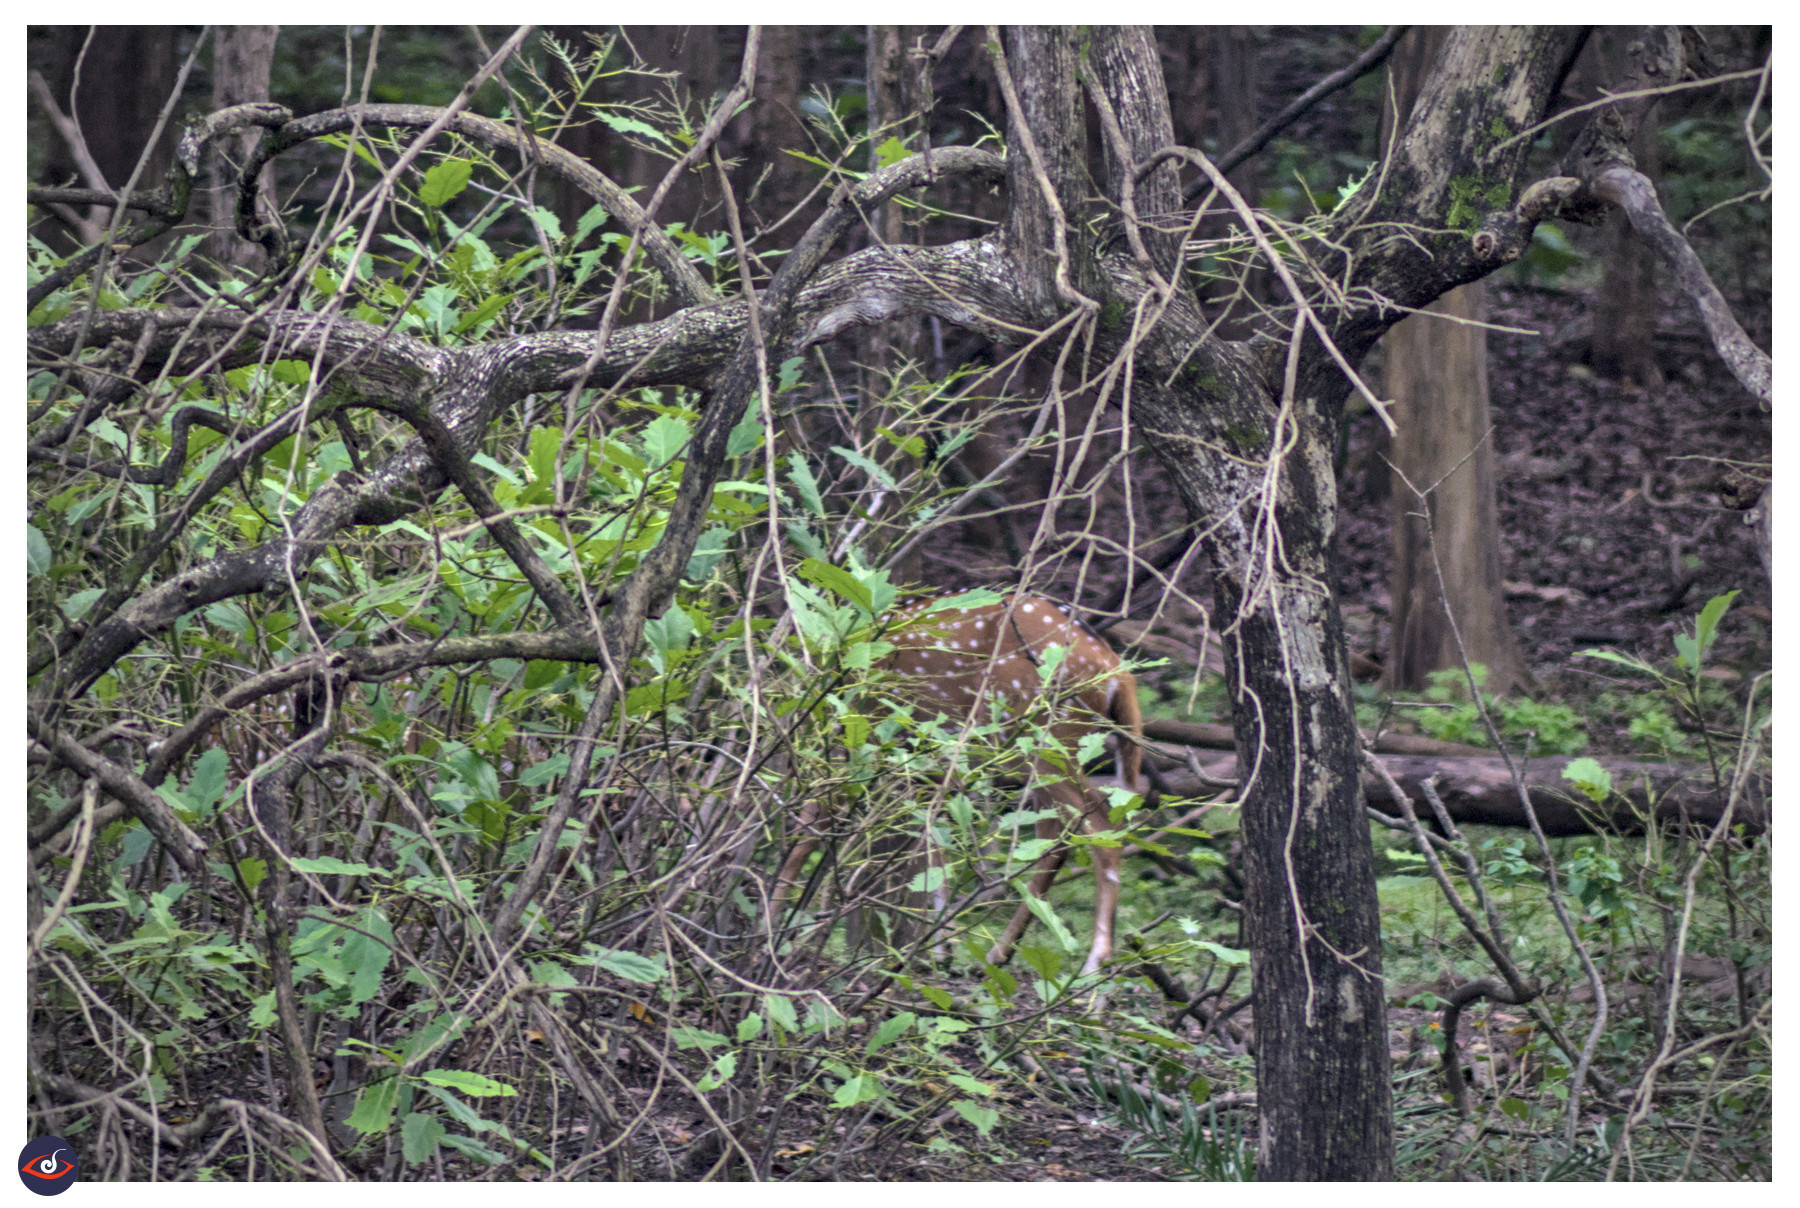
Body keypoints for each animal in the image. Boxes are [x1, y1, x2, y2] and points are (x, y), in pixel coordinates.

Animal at [777, 590, 1144, 979]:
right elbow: (933, 843)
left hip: (1036, 736)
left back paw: (1090, 965)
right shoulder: (925, 767)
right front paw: (942, 949)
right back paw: (1000, 954)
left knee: (1096, 829)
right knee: (1061, 835)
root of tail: (1116, 670)